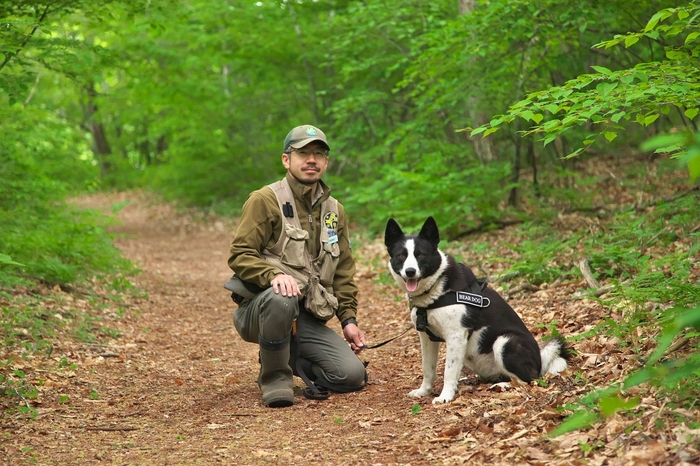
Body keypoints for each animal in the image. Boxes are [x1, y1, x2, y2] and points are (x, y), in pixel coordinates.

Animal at [386, 218, 572, 404]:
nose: (410, 272)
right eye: (401, 256)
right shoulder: (426, 338)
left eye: (421, 255)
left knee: (528, 379)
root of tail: (540, 360)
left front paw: (445, 396)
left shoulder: (456, 336)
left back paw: (503, 386)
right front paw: (424, 391)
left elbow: (448, 371)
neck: (436, 287)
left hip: (505, 341)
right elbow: (428, 368)